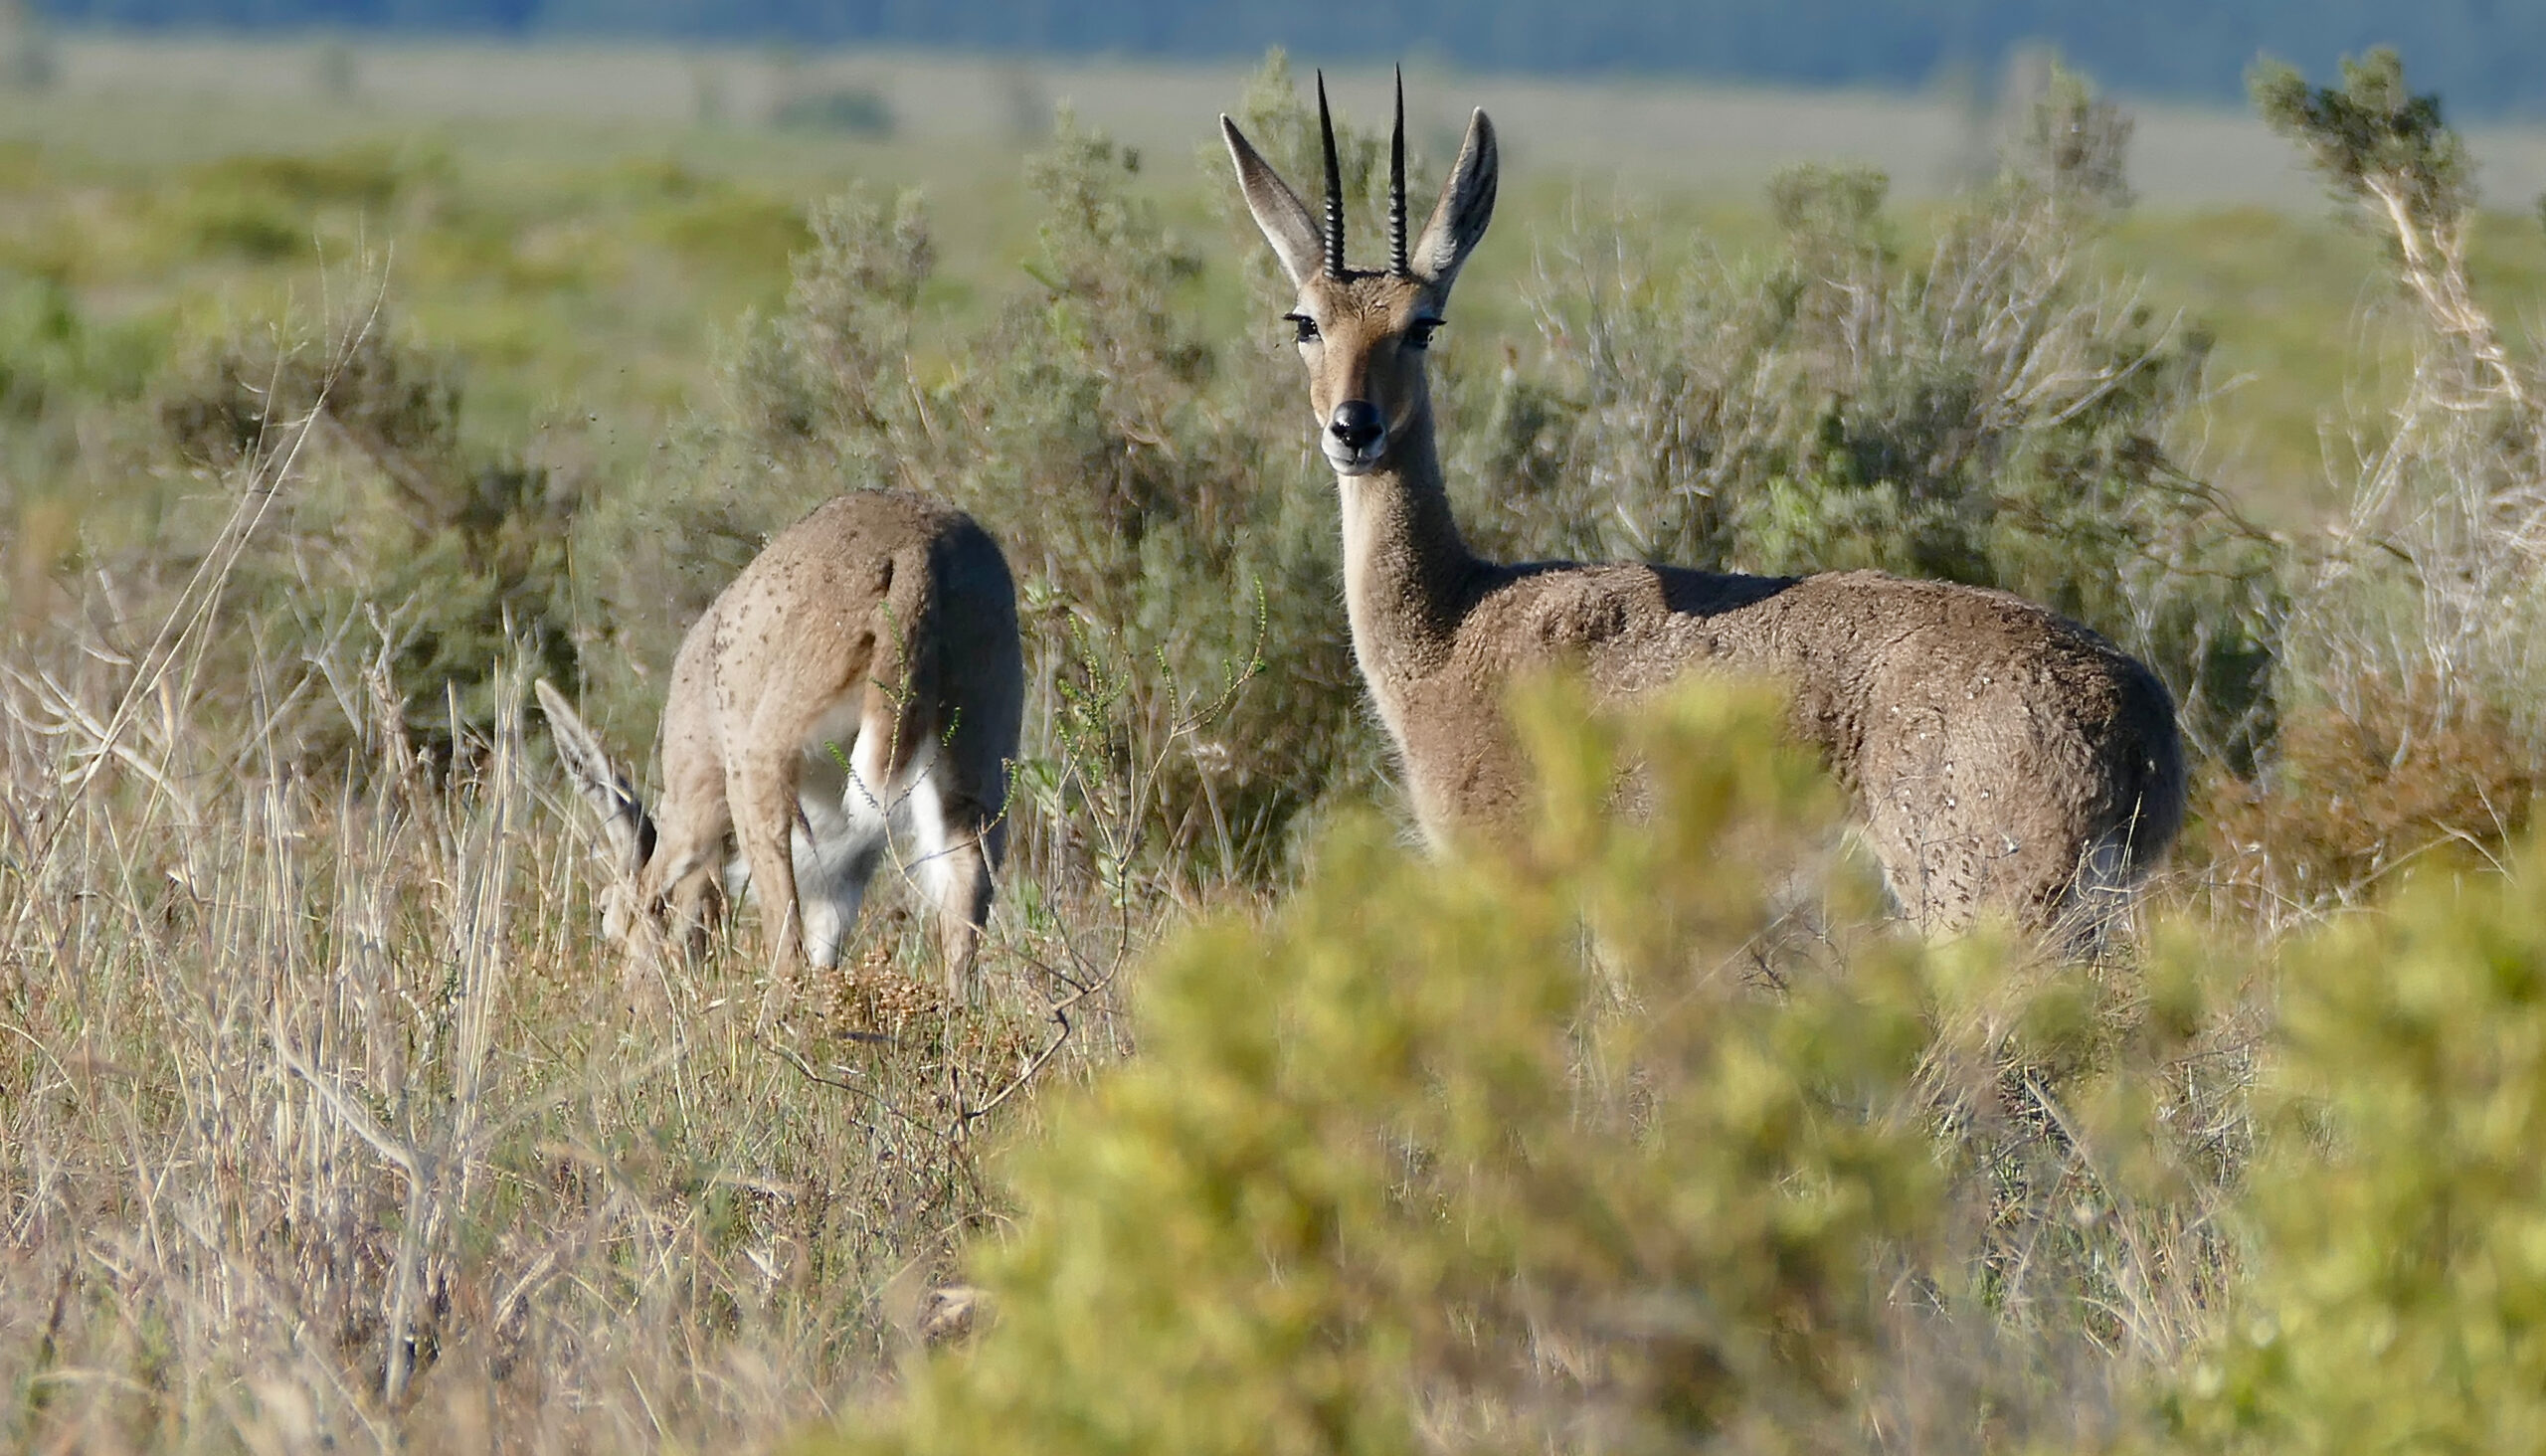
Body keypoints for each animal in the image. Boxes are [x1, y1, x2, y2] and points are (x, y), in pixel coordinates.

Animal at [537, 488, 1023, 988]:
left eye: (603, 914)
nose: (633, 997)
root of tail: (916, 553)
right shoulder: (841, 872)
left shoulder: (697, 800)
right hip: (976, 776)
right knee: (962, 937)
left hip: (760, 773)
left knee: (785, 950)